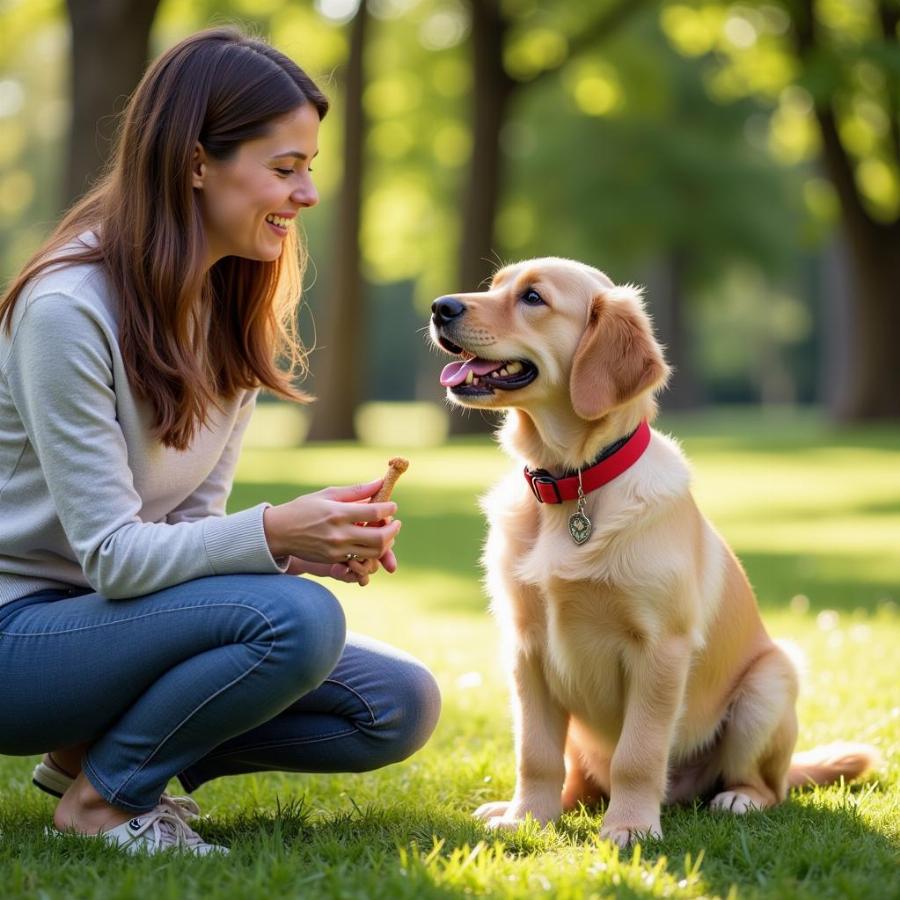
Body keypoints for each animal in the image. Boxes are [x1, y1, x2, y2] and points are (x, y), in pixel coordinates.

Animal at [428, 256, 880, 848]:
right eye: (494, 286)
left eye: (532, 298)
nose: (439, 307)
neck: (571, 484)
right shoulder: (525, 647)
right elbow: (535, 751)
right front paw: (527, 818)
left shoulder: (660, 647)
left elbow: (638, 754)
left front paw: (630, 827)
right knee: (578, 778)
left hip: (770, 683)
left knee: (768, 784)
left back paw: (737, 799)